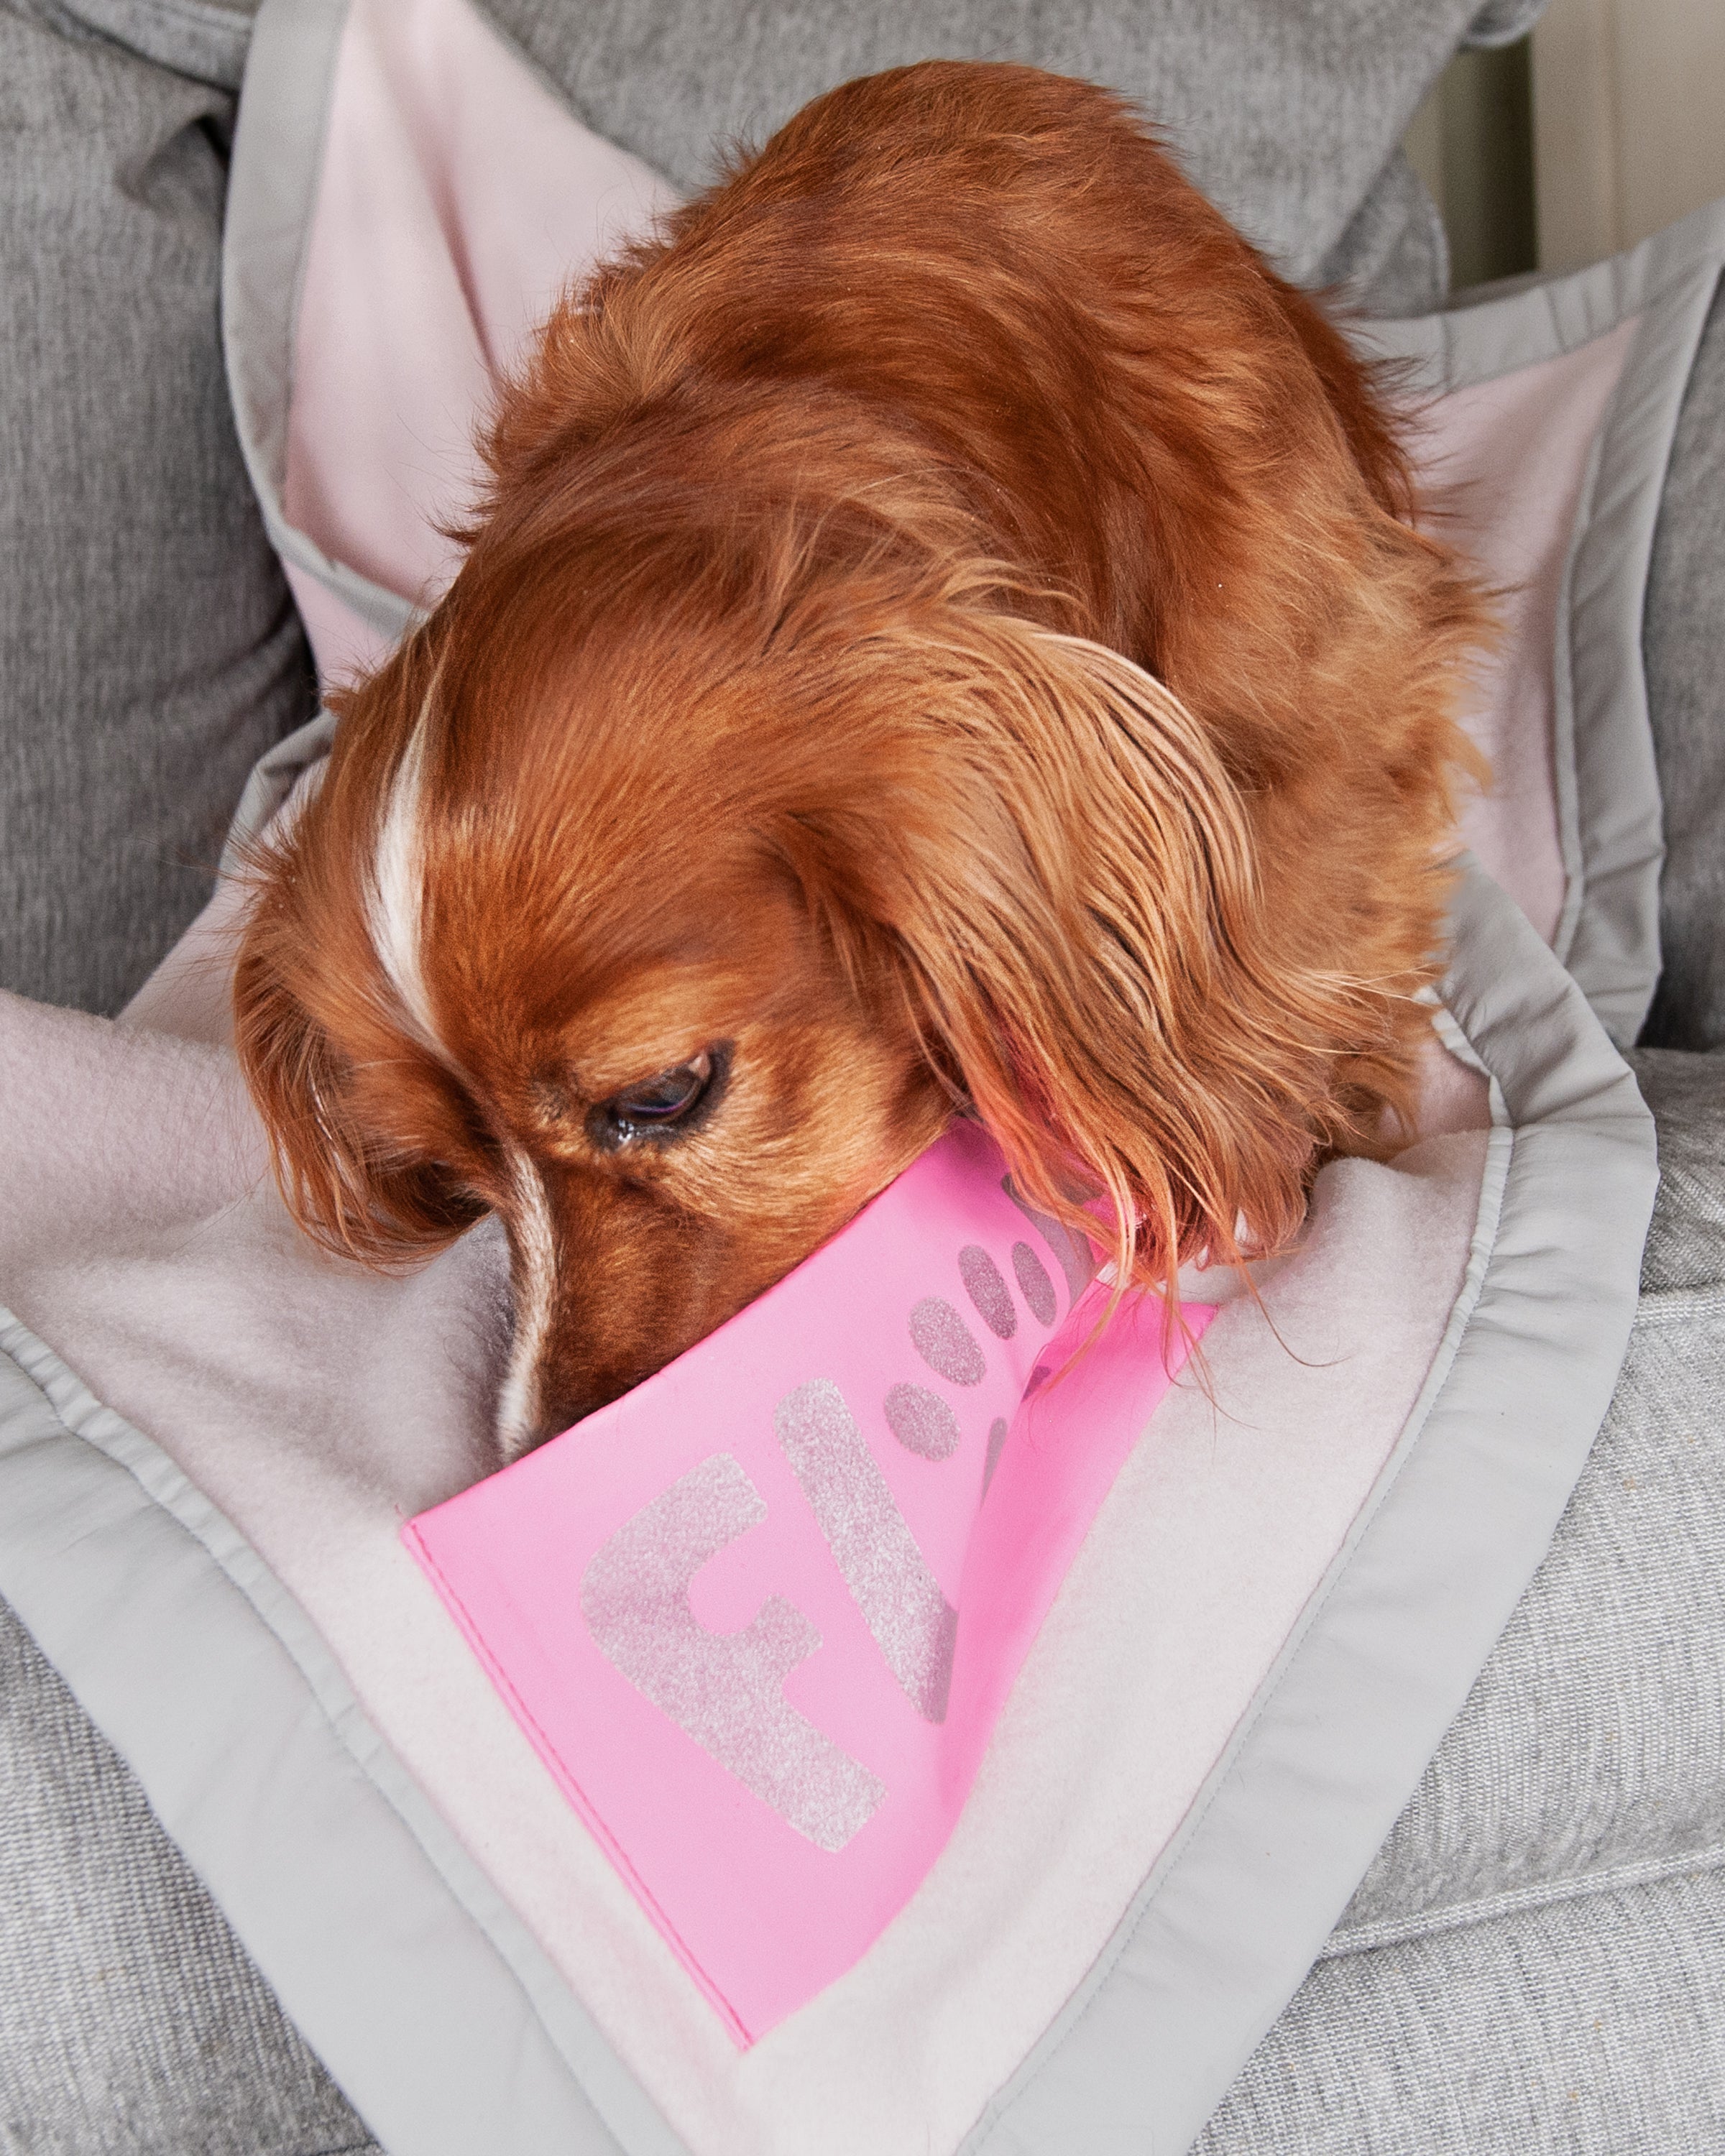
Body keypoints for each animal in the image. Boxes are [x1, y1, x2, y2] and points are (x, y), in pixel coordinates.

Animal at [236, 59, 1492, 1457]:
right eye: (450, 1177)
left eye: (664, 1095)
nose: (536, 1451)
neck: (812, 393)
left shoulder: (1343, 696)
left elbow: (1323, 909)